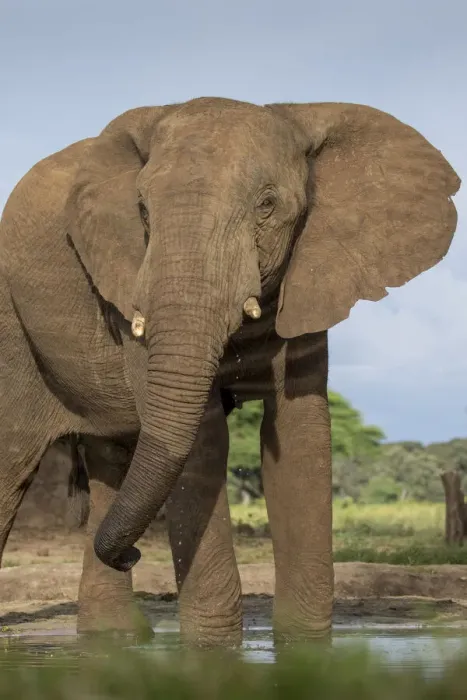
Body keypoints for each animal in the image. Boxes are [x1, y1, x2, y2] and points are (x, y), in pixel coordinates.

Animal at [0, 97, 460, 646]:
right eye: (143, 211)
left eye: (267, 205)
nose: (132, 552)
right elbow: (204, 440)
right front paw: (213, 652)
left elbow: (301, 437)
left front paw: (306, 651)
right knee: (11, 464)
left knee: (112, 460)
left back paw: (115, 640)